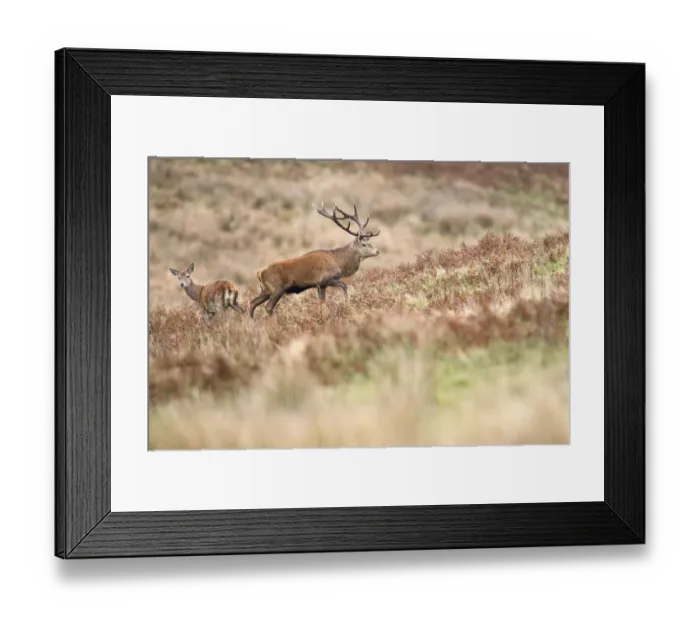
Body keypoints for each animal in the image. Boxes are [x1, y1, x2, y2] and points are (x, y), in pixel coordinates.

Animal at [248, 202, 381, 318]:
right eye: (364, 244)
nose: (377, 251)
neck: (339, 262)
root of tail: (259, 273)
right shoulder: (325, 280)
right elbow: (344, 286)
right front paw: (347, 303)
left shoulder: (320, 285)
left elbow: (322, 301)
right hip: (277, 289)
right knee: (268, 307)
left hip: (265, 290)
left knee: (252, 303)